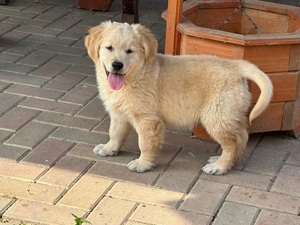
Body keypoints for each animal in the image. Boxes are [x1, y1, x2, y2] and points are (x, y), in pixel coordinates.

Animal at [84, 21, 272, 175]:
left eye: (130, 51)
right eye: (109, 48)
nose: (117, 65)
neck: (135, 75)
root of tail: (235, 65)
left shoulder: (147, 119)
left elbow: (145, 144)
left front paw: (142, 163)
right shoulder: (119, 113)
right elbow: (115, 132)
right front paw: (109, 148)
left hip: (216, 116)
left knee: (233, 142)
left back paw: (219, 166)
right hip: (228, 115)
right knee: (242, 137)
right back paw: (225, 161)